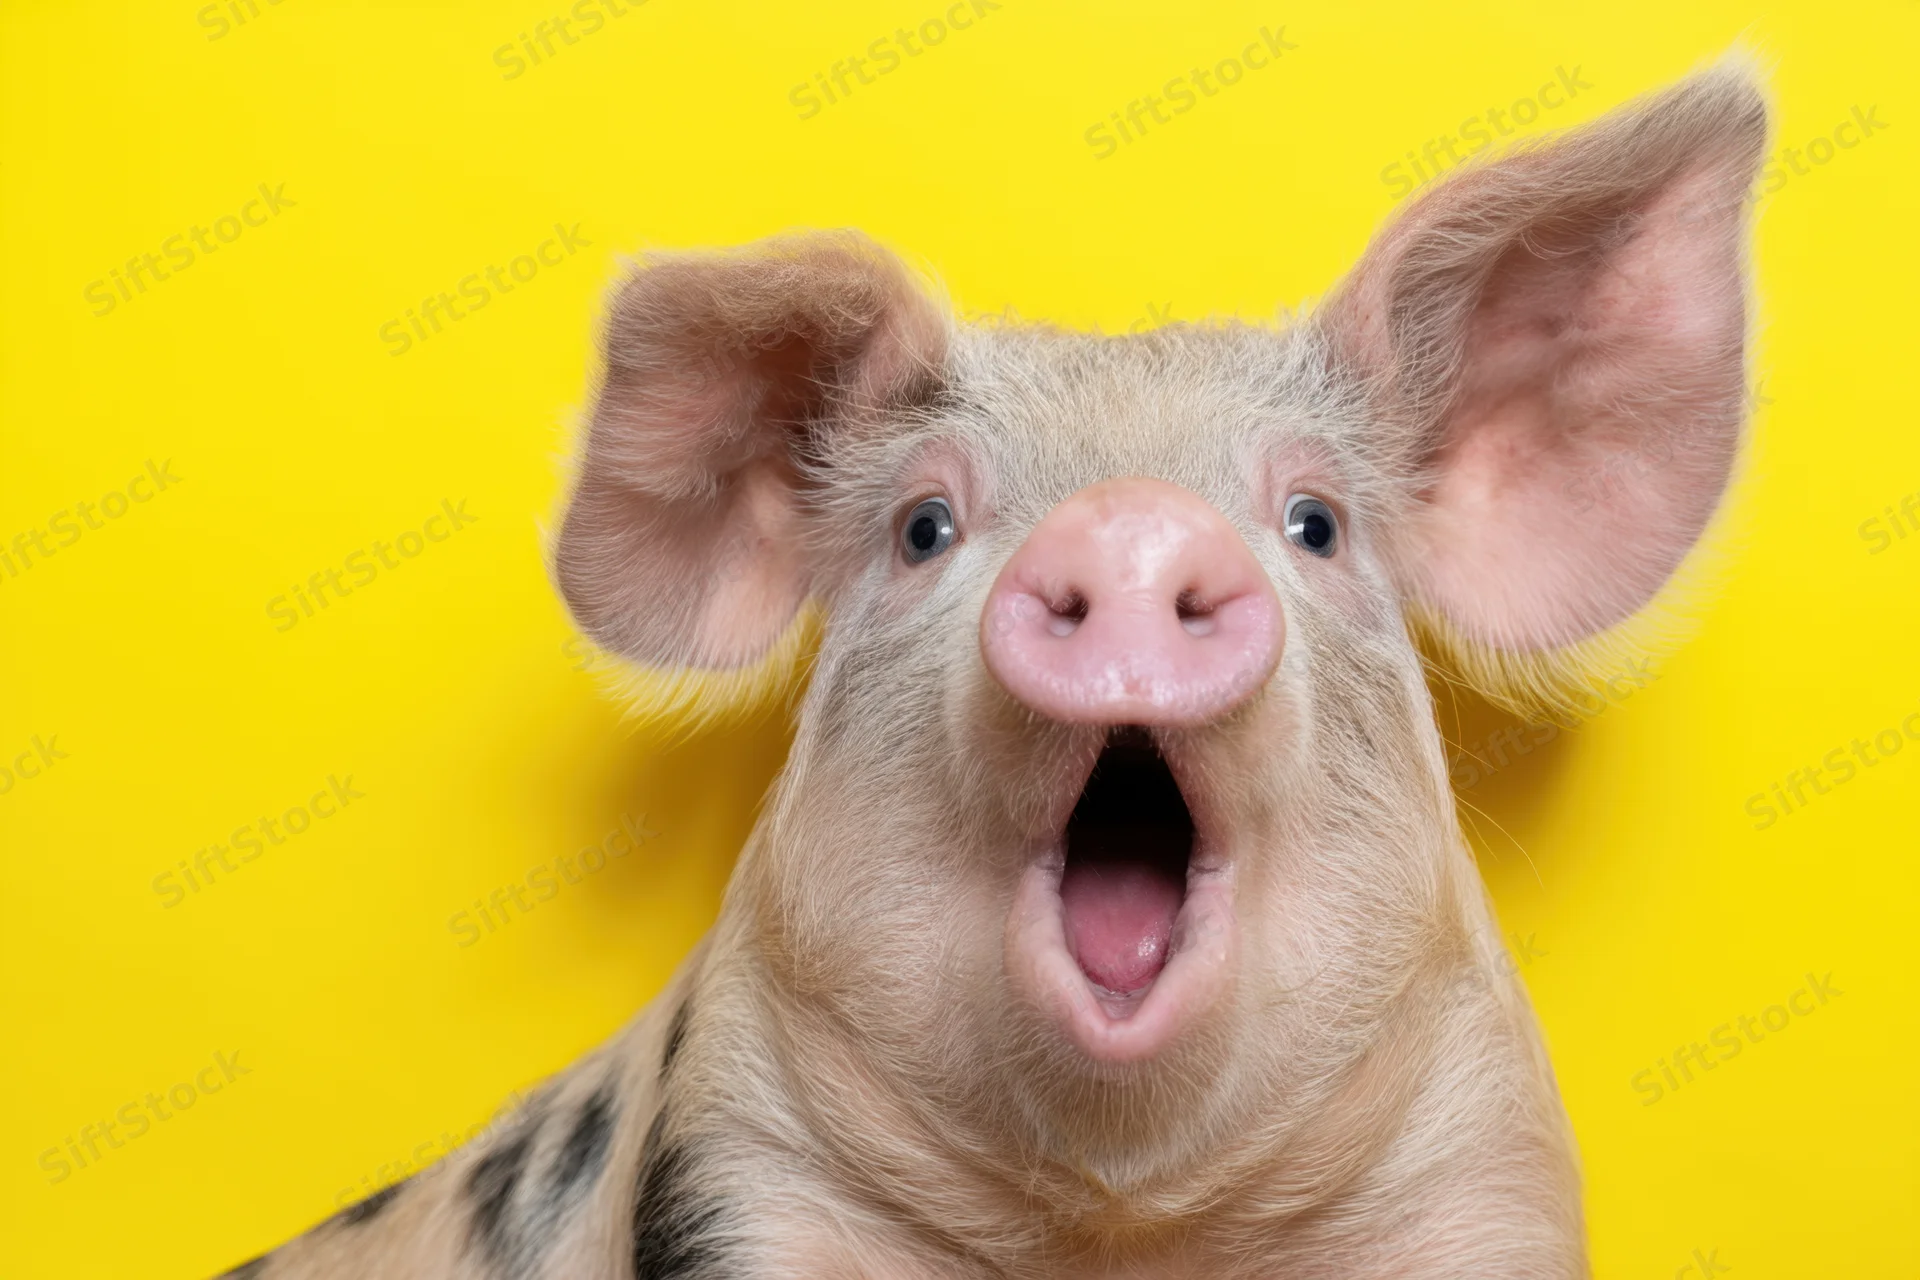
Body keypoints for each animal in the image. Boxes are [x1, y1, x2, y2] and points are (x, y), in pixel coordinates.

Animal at [224, 61, 1767, 1280]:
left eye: (1315, 523)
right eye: (925, 526)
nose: (1132, 518)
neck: (1123, 1228)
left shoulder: (1483, 1173)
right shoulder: (736, 1166)